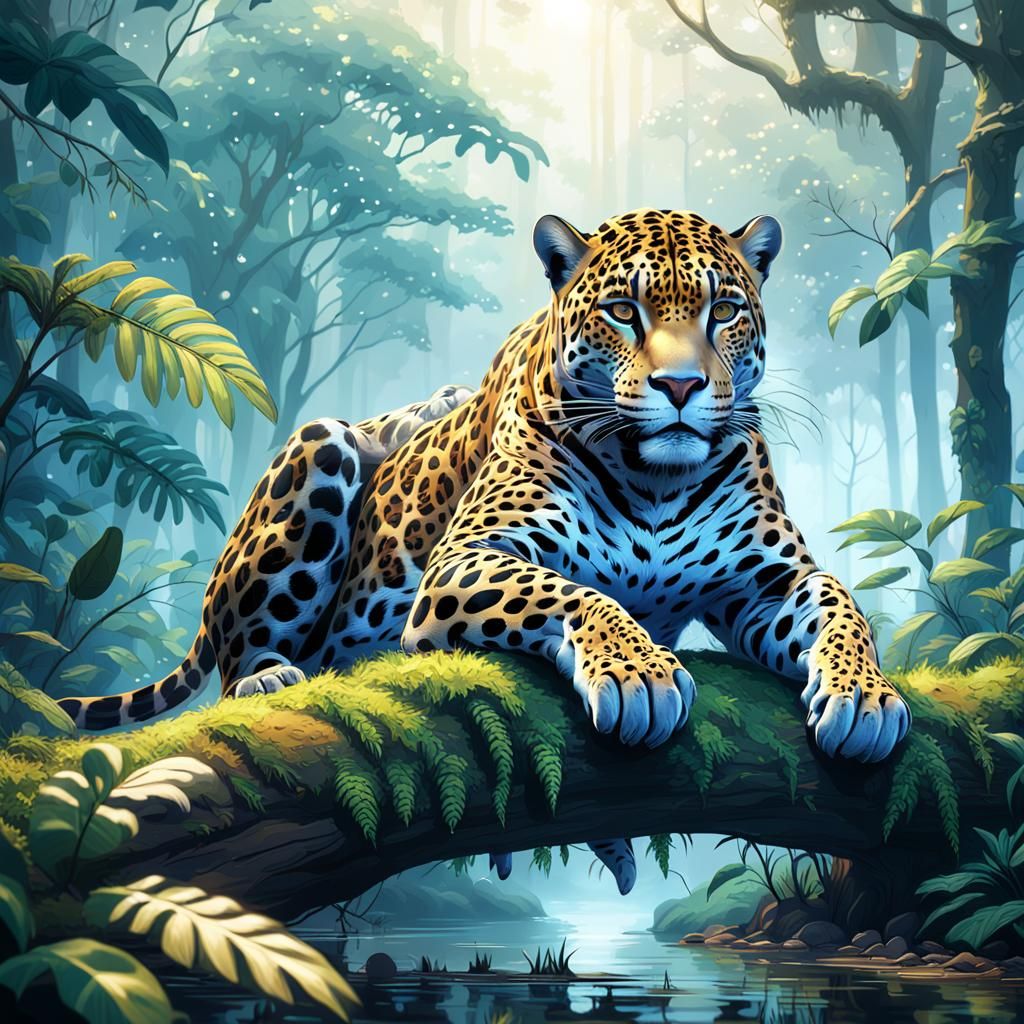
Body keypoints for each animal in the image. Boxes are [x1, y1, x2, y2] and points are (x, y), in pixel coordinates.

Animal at [59, 207, 911, 895]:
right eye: (623, 311)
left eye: (724, 310)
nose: (680, 387)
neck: (655, 479)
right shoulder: (465, 561)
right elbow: (580, 594)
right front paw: (636, 675)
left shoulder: (769, 583)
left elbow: (841, 608)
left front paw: (865, 698)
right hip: (319, 450)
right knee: (241, 649)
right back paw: (268, 676)